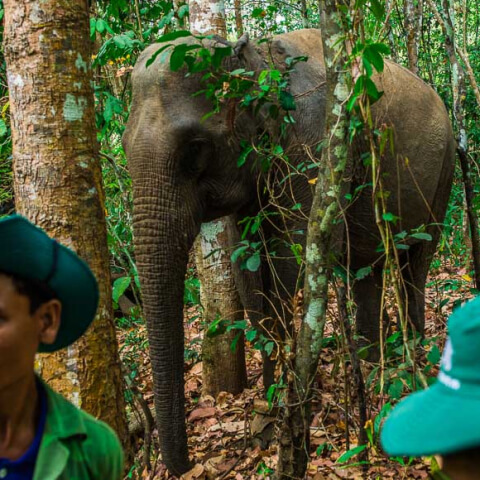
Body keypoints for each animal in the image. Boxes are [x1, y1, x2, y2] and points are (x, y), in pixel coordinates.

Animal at [123, 28, 454, 474]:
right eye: (123, 146)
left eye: (195, 149)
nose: (183, 467)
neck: (258, 60)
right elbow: (248, 276)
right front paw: (270, 406)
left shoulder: (316, 151)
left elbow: (289, 265)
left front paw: (289, 410)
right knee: (368, 265)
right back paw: (370, 360)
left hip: (444, 172)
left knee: (415, 263)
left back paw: (411, 355)